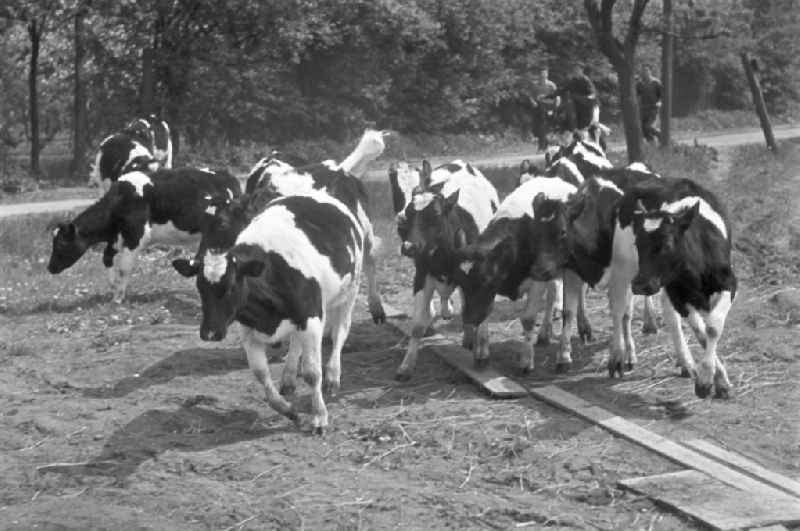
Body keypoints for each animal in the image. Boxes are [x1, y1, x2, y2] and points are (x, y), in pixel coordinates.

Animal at [47, 166, 238, 304]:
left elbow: (124, 268)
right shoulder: (117, 238)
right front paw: (113, 288)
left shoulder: (136, 236)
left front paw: (118, 298)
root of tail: (227, 176)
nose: (50, 268)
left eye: (61, 244)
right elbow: (107, 258)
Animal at [173, 189, 368, 434]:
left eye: (232, 286)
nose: (209, 333)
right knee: (296, 343)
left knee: (340, 332)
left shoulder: (312, 318)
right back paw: (288, 379)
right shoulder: (249, 331)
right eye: (200, 287)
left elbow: (312, 373)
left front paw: (319, 417)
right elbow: (260, 373)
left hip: (350, 290)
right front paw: (288, 411)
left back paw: (333, 376)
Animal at [390, 160, 496, 380]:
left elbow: (484, 311)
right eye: (410, 214)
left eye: (436, 215)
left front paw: (482, 352)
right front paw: (406, 365)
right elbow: (417, 325)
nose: (408, 247)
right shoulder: (421, 275)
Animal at [456, 177, 580, 372]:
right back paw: (544, 334)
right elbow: (486, 313)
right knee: (552, 296)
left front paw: (526, 361)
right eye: (460, 283)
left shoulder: (537, 279)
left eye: (485, 280)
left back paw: (567, 351)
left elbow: (528, 319)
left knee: (569, 307)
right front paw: (481, 354)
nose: (468, 318)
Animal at [620, 179, 736, 400]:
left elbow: (712, 327)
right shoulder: (679, 296)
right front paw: (708, 381)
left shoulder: (729, 284)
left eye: (667, 243)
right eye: (637, 243)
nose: (639, 284)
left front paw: (715, 380)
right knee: (666, 316)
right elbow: (701, 332)